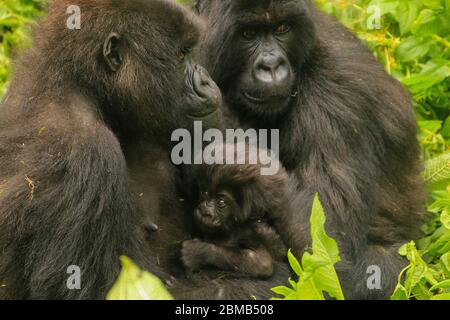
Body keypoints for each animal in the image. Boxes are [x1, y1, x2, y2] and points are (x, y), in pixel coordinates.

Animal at [182, 144, 288, 278]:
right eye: (205, 193)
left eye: (221, 202)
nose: (205, 211)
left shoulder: (255, 230)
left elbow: (263, 263)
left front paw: (198, 253)